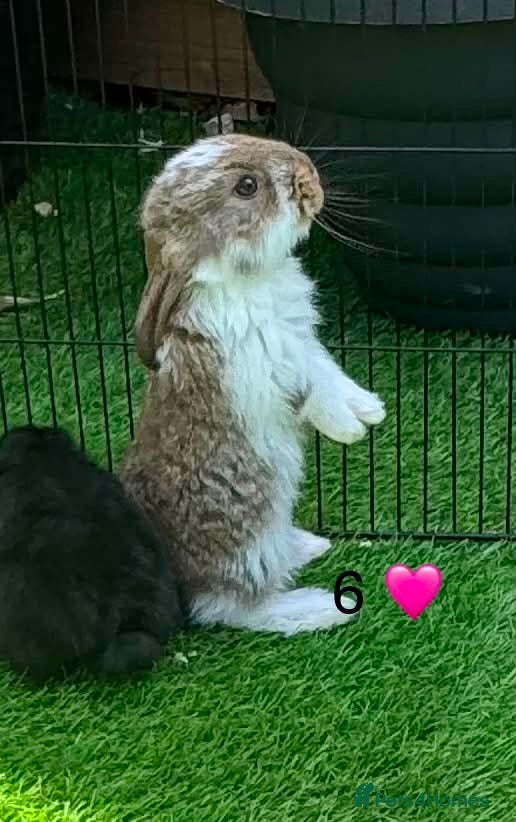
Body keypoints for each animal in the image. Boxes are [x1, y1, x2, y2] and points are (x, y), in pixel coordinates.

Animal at [121, 133, 386, 637]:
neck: (242, 280)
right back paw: (321, 606)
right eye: (247, 186)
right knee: (234, 607)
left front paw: (369, 411)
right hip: (249, 537)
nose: (309, 177)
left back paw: (308, 545)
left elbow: (331, 375)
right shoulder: (266, 361)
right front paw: (347, 430)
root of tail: (186, 582)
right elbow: (312, 392)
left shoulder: (303, 342)